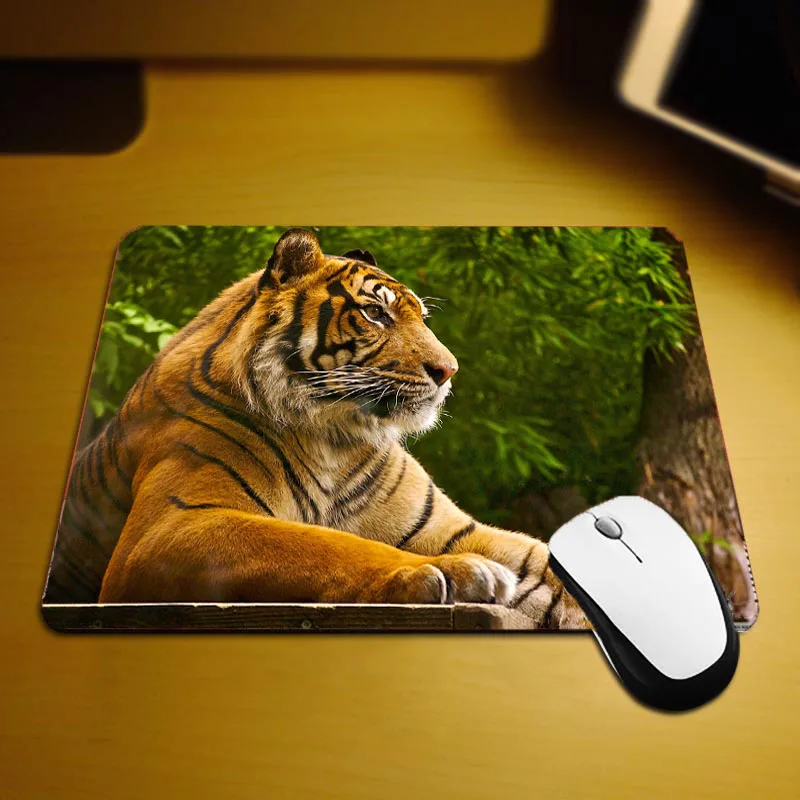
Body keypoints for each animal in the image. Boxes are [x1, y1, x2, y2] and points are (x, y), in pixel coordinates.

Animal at [46, 228, 587, 629]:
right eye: (375, 312)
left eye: (421, 317)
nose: (448, 371)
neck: (336, 437)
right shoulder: (168, 527)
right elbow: (327, 544)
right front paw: (449, 573)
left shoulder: (451, 528)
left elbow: (551, 566)